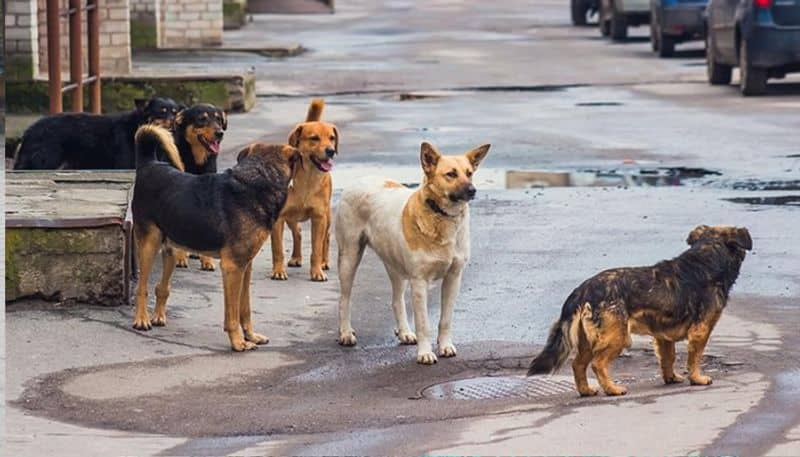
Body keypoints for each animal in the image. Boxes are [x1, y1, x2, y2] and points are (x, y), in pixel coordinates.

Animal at [15, 96, 183, 169]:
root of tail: (29, 130)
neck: (137, 126)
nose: (174, 123)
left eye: (175, 113)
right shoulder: (124, 165)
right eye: (161, 112)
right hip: (46, 161)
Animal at [131, 124, 300, 350]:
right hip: (149, 244)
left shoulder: (245, 266)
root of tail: (149, 164)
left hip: (171, 249)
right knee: (141, 288)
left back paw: (158, 316)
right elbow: (232, 315)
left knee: (161, 287)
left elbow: (245, 309)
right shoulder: (232, 267)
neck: (258, 179)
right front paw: (238, 342)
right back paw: (141, 320)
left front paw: (251, 336)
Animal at [268, 98, 338, 280]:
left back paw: (324, 262)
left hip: (327, 217)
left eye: (332, 138)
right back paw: (296, 257)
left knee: (326, 238)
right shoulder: (278, 218)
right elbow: (277, 249)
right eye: (314, 138)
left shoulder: (319, 218)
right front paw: (278, 270)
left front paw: (317, 271)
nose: (331, 151)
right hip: (291, 217)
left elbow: (316, 249)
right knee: (298, 232)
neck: (308, 179)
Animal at [336, 141, 490, 362]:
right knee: (344, 299)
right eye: (451, 174)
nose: (472, 190)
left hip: (396, 268)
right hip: (349, 257)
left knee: (396, 300)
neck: (440, 216)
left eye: (469, 173)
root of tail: (360, 180)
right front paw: (425, 353)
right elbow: (423, 323)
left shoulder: (453, 278)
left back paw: (404, 332)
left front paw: (445, 346)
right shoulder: (419, 282)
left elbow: (445, 320)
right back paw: (346, 333)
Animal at [532, 224, 752, 396]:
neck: (707, 258)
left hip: (588, 340)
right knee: (597, 363)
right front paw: (697, 378)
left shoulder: (663, 336)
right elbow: (695, 358)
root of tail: (583, 289)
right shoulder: (701, 330)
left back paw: (586, 391)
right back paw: (612, 389)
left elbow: (668, 358)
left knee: (578, 364)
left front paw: (671, 377)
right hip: (618, 337)